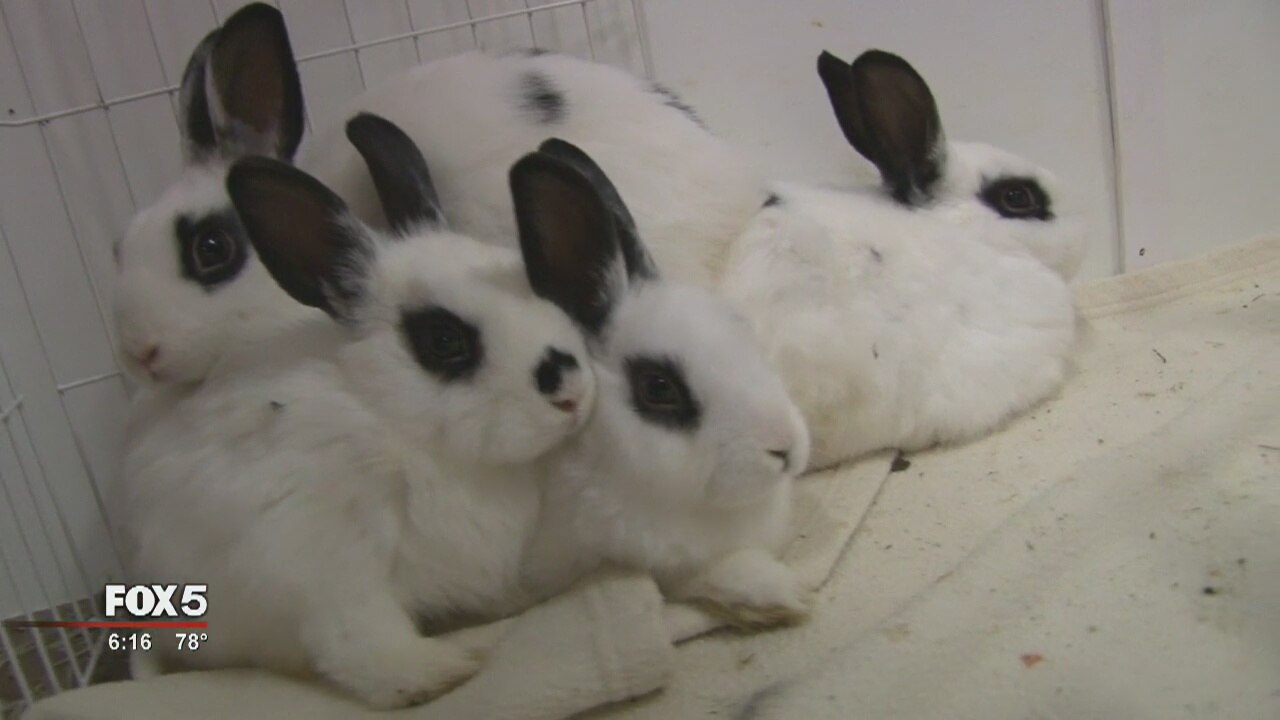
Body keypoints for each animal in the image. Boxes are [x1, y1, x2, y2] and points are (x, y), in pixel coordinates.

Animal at [112, 114, 595, 709]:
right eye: (444, 340)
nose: (572, 393)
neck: (395, 424)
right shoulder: (320, 563)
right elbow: (361, 647)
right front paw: (453, 664)